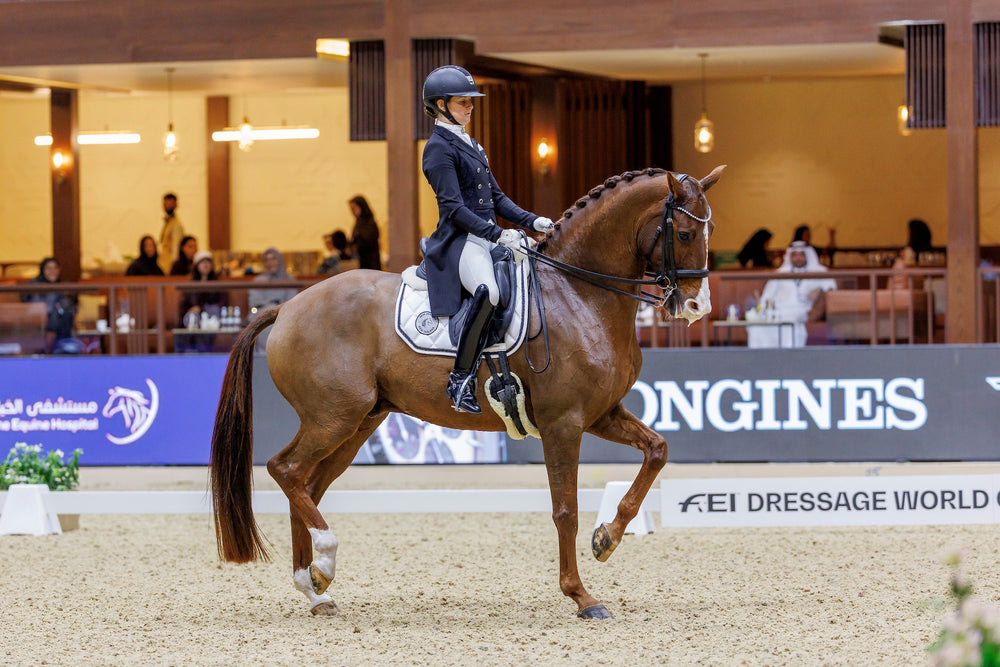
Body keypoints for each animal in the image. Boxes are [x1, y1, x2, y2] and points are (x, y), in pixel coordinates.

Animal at [213, 164, 728, 620]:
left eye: (709, 229)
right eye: (685, 234)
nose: (697, 308)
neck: (579, 293)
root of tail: (287, 307)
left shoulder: (601, 413)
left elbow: (657, 451)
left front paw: (607, 538)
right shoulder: (564, 422)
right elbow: (565, 509)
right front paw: (582, 596)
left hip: (358, 423)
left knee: (307, 484)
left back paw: (315, 586)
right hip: (332, 418)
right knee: (286, 470)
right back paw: (322, 560)